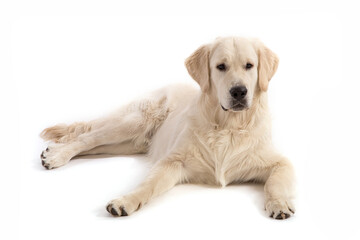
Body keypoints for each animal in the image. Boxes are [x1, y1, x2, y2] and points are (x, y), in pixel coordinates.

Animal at [40, 37, 296, 219]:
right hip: (134, 122)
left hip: (127, 144)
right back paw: (56, 156)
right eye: (221, 66)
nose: (239, 92)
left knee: (92, 145)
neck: (228, 126)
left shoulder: (280, 162)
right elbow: (148, 185)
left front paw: (280, 203)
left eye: (249, 66)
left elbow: (276, 183)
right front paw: (125, 201)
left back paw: (53, 151)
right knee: (87, 138)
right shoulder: (173, 161)